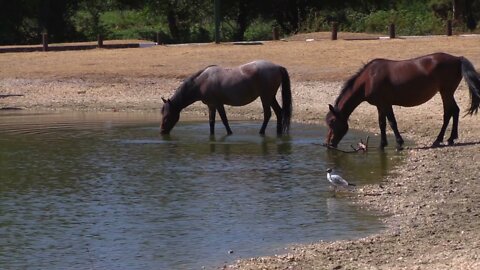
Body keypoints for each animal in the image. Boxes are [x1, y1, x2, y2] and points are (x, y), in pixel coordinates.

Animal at [160, 59, 292, 135]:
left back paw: (261, 132)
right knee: (279, 112)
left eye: (167, 117)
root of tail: (277, 67)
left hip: (265, 97)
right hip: (270, 97)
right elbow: (211, 122)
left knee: (268, 114)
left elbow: (224, 120)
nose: (162, 132)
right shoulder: (211, 105)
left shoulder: (218, 104)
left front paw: (229, 133)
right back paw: (278, 133)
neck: (201, 82)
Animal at [326, 52, 480, 150]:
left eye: (332, 122)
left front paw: (399, 143)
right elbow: (382, 124)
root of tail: (457, 58)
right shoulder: (380, 105)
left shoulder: (386, 104)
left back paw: (439, 139)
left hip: (446, 92)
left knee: (449, 112)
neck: (369, 78)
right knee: (455, 111)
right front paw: (382, 144)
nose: (328, 144)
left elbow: (392, 123)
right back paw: (450, 138)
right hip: (446, 93)